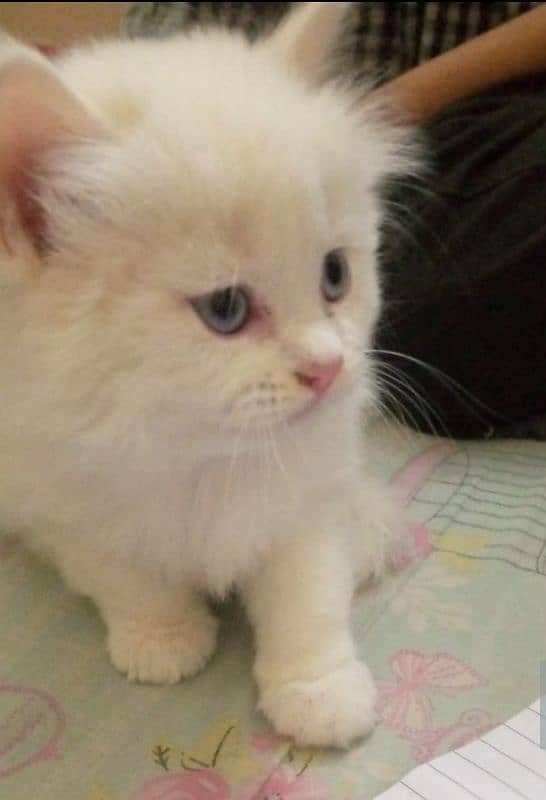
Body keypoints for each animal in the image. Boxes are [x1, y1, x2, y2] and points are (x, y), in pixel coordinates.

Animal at [0, 3, 408, 748]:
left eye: (335, 275)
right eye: (226, 310)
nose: (328, 367)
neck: (203, 456)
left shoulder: (310, 500)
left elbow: (307, 598)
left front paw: (319, 691)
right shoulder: (67, 505)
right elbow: (130, 580)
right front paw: (164, 640)